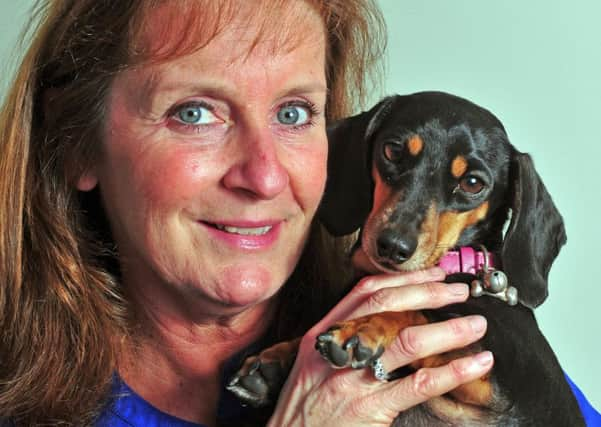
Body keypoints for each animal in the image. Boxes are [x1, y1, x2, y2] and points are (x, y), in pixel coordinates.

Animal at [227, 92, 584, 426]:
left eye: (472, 183)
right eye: (393, 151)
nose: (392, 246)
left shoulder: (499, 379)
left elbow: (420, 313)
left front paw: (367, 326)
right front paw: (275, 360)